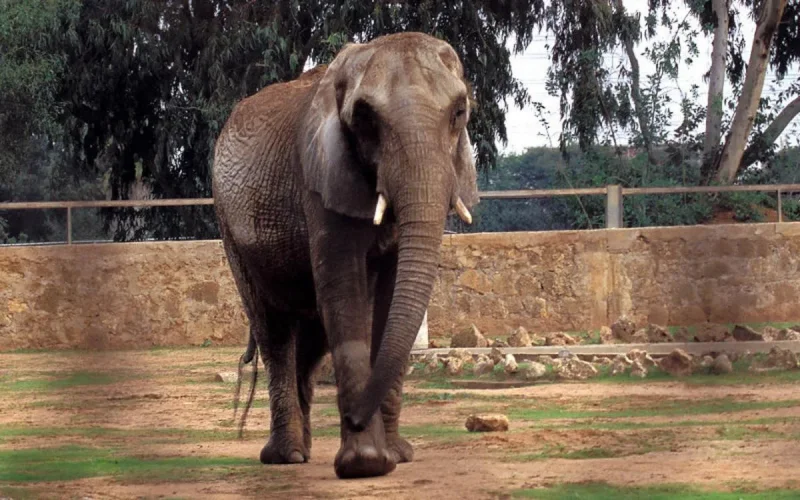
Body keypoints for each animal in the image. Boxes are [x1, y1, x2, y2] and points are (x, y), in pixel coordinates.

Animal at [211, 31, 479, 479]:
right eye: (365, 119)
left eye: (459, 112)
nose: (354, 417)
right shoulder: (320, 178)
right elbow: (344, 291)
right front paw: (366, 464)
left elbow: (389, 297)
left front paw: (395, 456)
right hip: (231, 230)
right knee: (274, 330)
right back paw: (286, 456)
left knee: (311, 335)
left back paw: (303, 450)